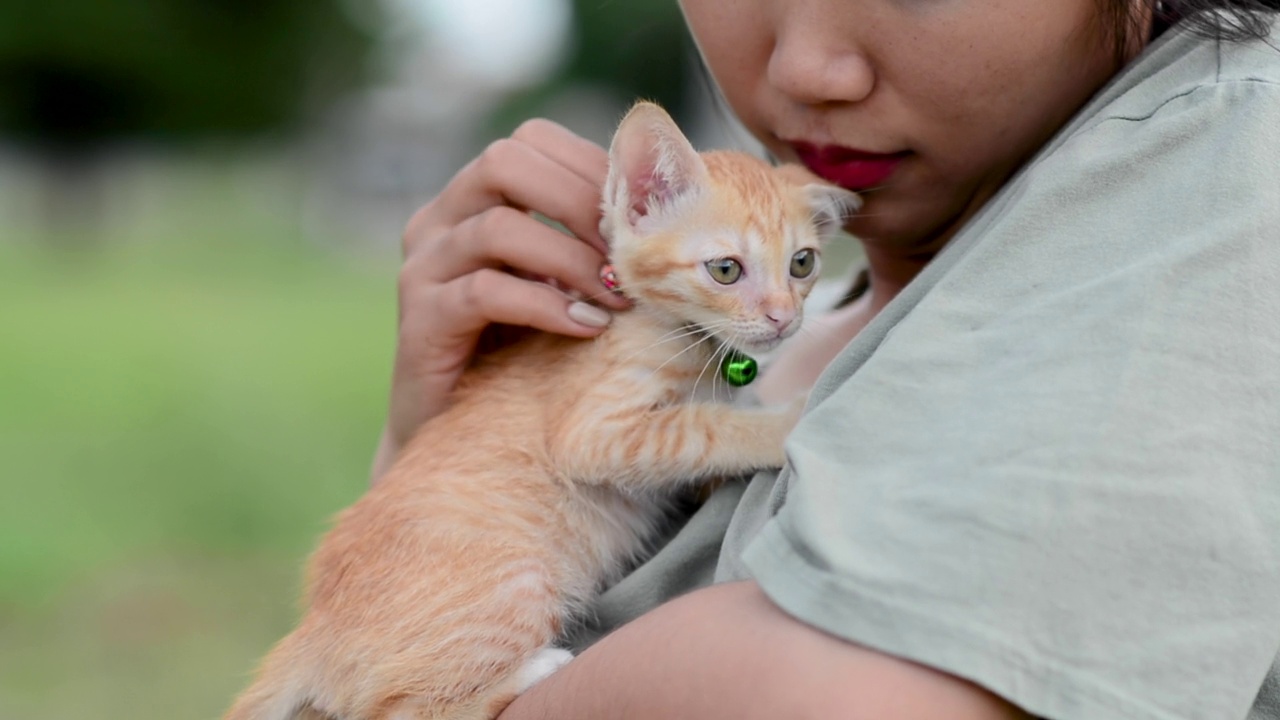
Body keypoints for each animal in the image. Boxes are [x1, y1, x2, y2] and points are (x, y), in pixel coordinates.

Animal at [224, 102, 860, 717]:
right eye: (726, 269)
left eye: (802, 263)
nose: (784, 318)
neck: (678, 333)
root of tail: (314, 628)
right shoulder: (592, 430)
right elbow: (703, 425)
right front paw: (786, 421)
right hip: (518, 579)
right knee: (395, 709)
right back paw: (536, 668)